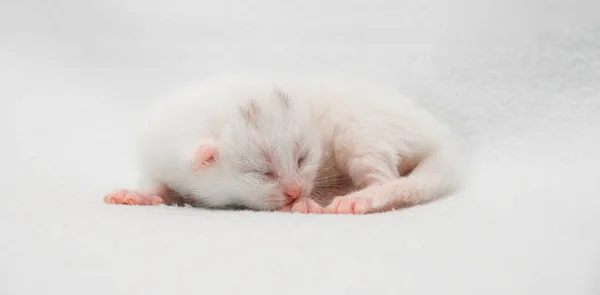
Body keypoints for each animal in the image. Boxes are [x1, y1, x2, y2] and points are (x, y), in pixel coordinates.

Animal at [104, 75, 460, 215]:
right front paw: (135, 194)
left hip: (364, 132)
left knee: (386, 178)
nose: (295, 191)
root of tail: (440, 136)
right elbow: (158, 185)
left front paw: (302, 204)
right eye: (262, 172)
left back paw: (357, 198)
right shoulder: (162, 153)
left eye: (303, 158)